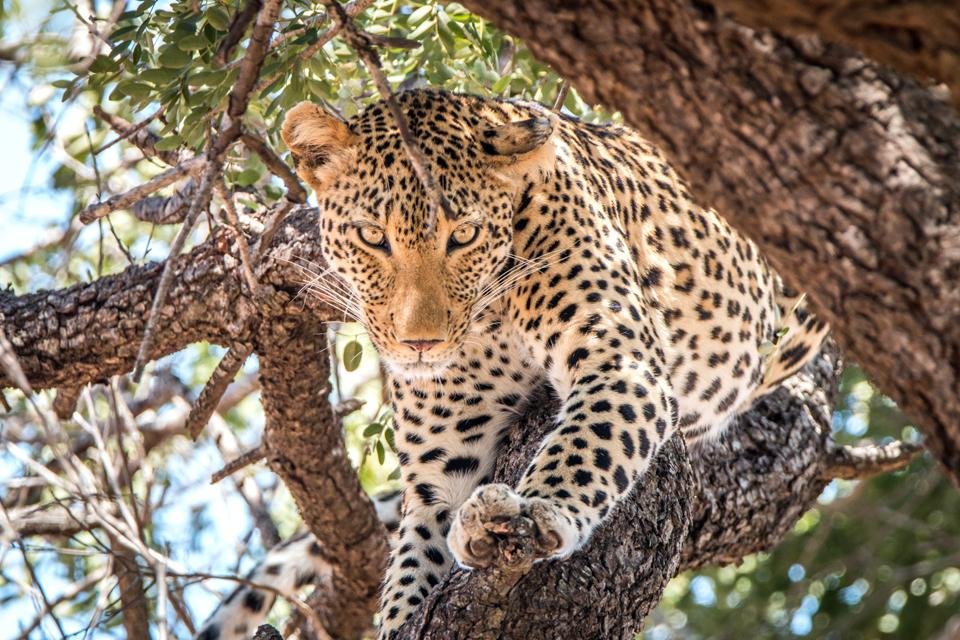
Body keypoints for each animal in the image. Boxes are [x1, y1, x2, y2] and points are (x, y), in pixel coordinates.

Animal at [193, 90, 824, 640]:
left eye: (465, 234)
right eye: (372, 237)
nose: (420, 344)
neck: (489, 321)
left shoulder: (620, 361)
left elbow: (588, 443)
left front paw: (540, 511)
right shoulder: (441, 469)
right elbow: (409, 573)